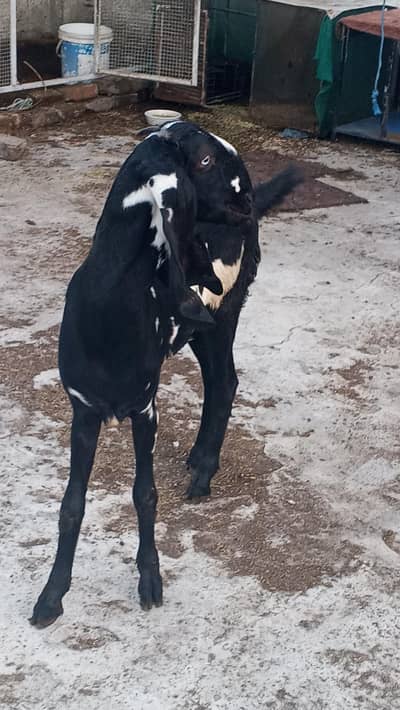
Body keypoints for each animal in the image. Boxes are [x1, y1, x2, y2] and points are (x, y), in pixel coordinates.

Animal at [31, 122, 300, 627]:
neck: (108, 312)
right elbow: (72, 504)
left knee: (224, 382)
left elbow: (145, 494)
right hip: (202, 327)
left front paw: (150, 582)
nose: (247, 196)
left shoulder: (144, 408)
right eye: (205, 160)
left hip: (224, 313)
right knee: (220, 381)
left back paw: (204, 472)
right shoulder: (83, 411)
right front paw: (51, 597)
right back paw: (197, 460)